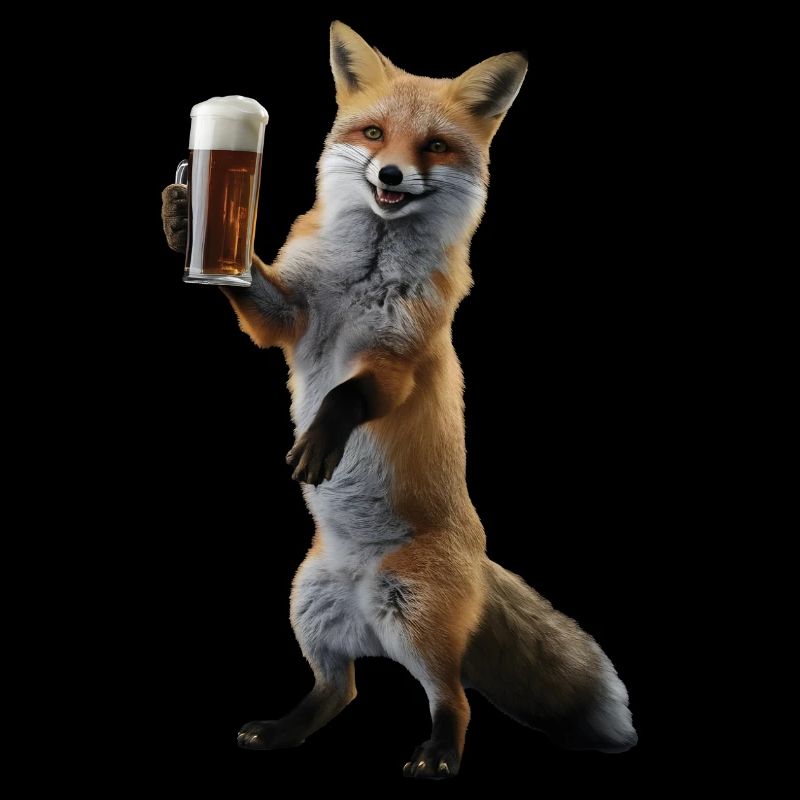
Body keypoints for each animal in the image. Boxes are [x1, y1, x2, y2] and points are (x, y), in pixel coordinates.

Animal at [161, 22, 637, 779]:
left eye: (434, 146)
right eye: (374, 134)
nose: (389, 176)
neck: (364, 274)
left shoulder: (398, 356)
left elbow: (350, 394)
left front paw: (322, 438)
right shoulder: (292, 319)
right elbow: (258, 296)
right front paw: (186, 223)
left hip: (413, 616)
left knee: (454, 699)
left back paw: (439, 755)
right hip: (309, 606)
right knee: (340, 689)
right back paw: (283, 730)